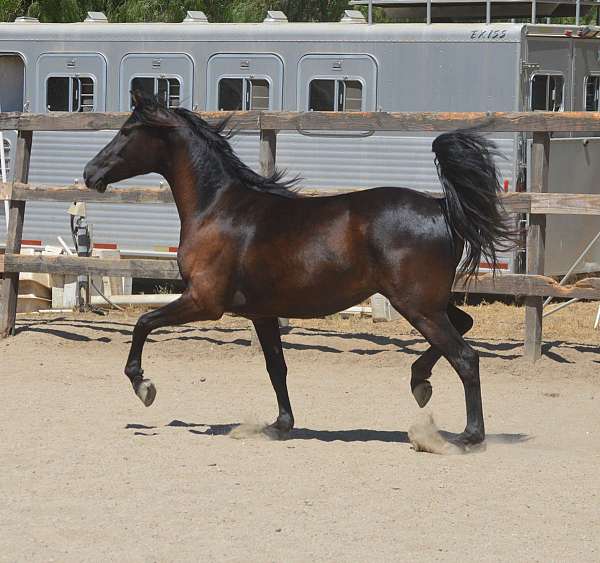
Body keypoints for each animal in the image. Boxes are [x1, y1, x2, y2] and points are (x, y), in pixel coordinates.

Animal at [83, 93, 510, 454]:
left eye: (127, 131)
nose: (90, 173)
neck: (217, 209)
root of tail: (442, 208)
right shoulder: (262, 312)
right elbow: (277, 367)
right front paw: (281, 425)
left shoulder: (204, 301)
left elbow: (143, 322)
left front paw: (143, 385)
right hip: (429, 303)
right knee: (464, 326)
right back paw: (420, 382)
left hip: (417, 305)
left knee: (466, 357)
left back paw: (467, 436)